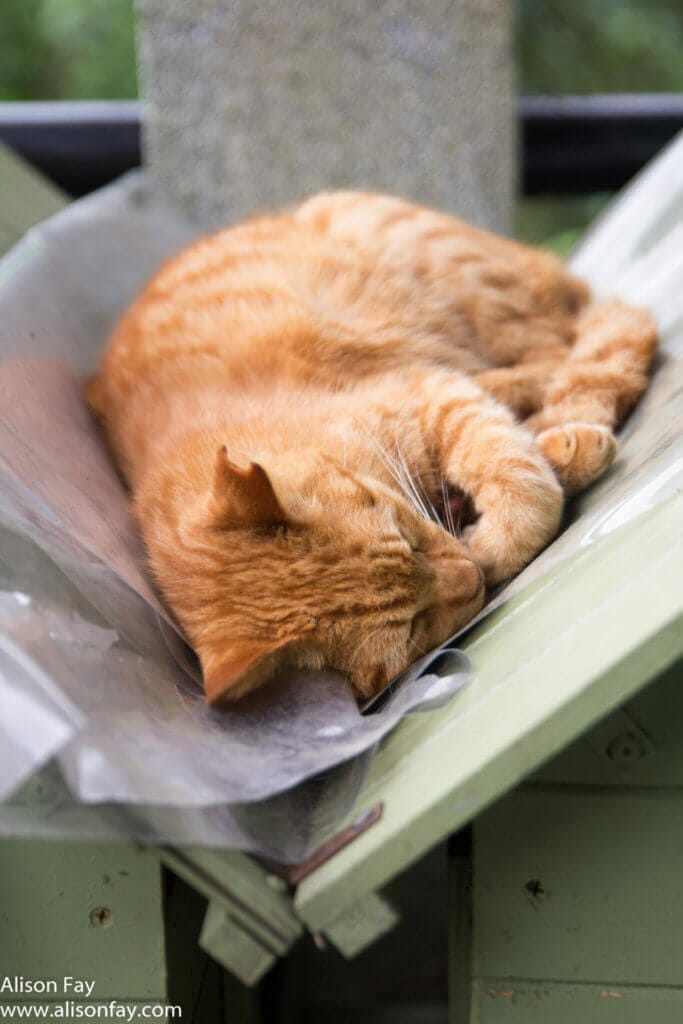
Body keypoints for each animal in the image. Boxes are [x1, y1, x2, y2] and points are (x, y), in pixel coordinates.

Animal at [87, 190, 655, 704]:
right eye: (411, 630)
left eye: (405, 534)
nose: (471, 575)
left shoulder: (428, 392)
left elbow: (519, 479)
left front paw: (499, 529)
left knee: (590, 339)